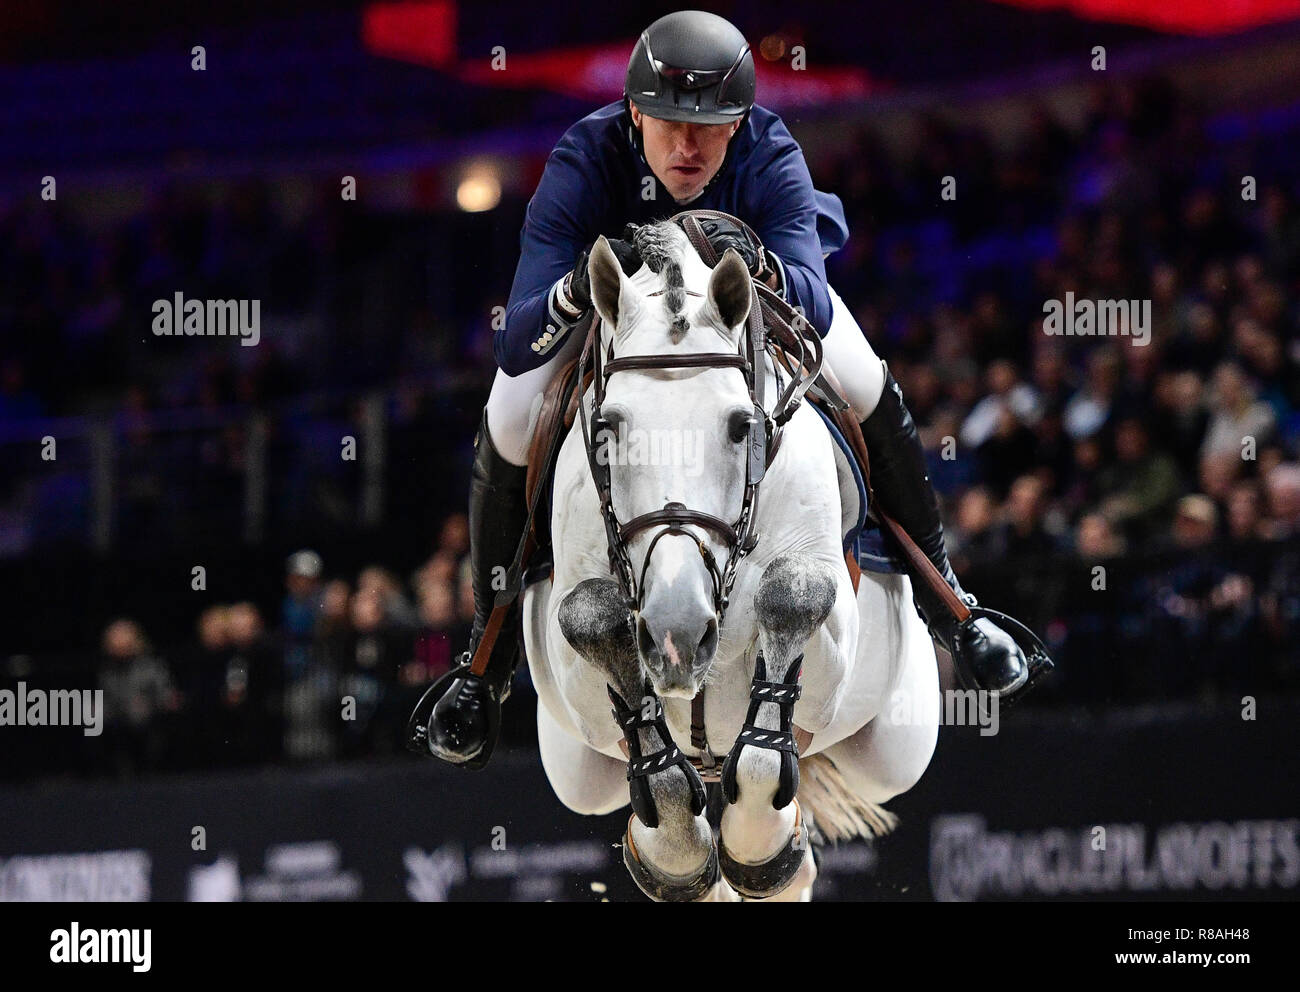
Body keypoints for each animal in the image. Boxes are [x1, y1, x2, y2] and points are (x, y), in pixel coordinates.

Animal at [522, 223, 941, 899]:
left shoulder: (827, 657)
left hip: (897, 741)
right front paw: (674, 845)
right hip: (576, 770)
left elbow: (793, 597)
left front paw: (760, 842)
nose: (677, 635)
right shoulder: (577, 670)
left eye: (741, 426)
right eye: (608, 429)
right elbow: (590, 618)